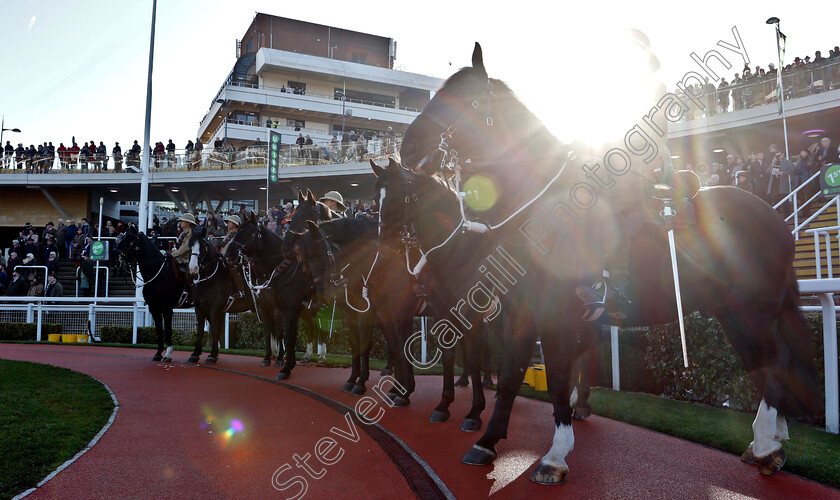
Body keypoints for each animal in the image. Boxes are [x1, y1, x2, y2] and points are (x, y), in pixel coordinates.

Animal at [111, 229, 187, 362]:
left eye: (129, 240)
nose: (114, 257)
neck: (158, 273)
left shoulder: (166, 308)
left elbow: (167, 330)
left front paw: (168, 354)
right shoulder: (153, 308)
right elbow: (159, 330)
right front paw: (158, 353)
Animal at [392, 44, 820, 484]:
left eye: (468, 100)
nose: (408, 147)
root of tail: (776, 219)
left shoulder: (557, 315)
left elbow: (558, 378)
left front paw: (555, 454)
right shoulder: (519, 314)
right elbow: (509, 376)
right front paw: (487, 441)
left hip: (751, 309)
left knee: (774, 362)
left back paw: (767, 445)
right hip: (731, 312)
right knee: (764, 363)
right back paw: (766, 441)